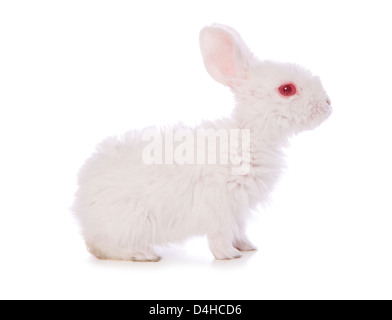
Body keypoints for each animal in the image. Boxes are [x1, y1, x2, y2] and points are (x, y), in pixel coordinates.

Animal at [71, 23, 330, 262]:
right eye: (287, 89)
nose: (328, 104)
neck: (250, 134)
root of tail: (83, 208)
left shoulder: (238, 210)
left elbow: (238, 230)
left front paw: (247, 247)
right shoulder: (220, 204)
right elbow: (220, 235)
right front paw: (229, 255)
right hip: (131, 220)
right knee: (104, 246)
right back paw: (144, 254)